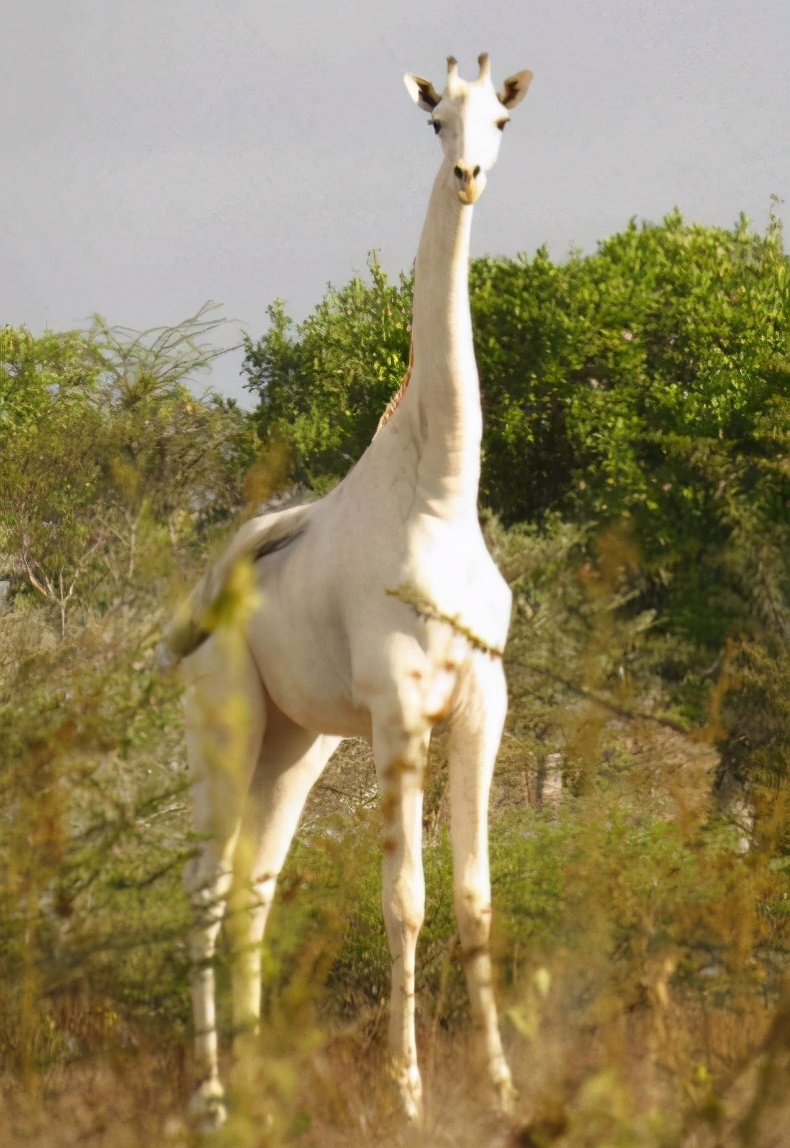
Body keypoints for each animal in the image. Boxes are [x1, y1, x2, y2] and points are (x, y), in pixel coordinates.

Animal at [167, 51, 532, 1120]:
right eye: (435, 120)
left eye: (502, 120)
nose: (469, 176)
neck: (441, 498)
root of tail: (193, 607)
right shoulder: (400, 708)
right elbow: (403, 899)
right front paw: (408, 1092)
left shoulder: (484, 700)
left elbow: (475, 896)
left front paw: (502, 1088)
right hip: (225, 719)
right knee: (205, 888)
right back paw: (210, 1096)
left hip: (296, 743)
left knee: (257, 885)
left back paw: (256, 1084)